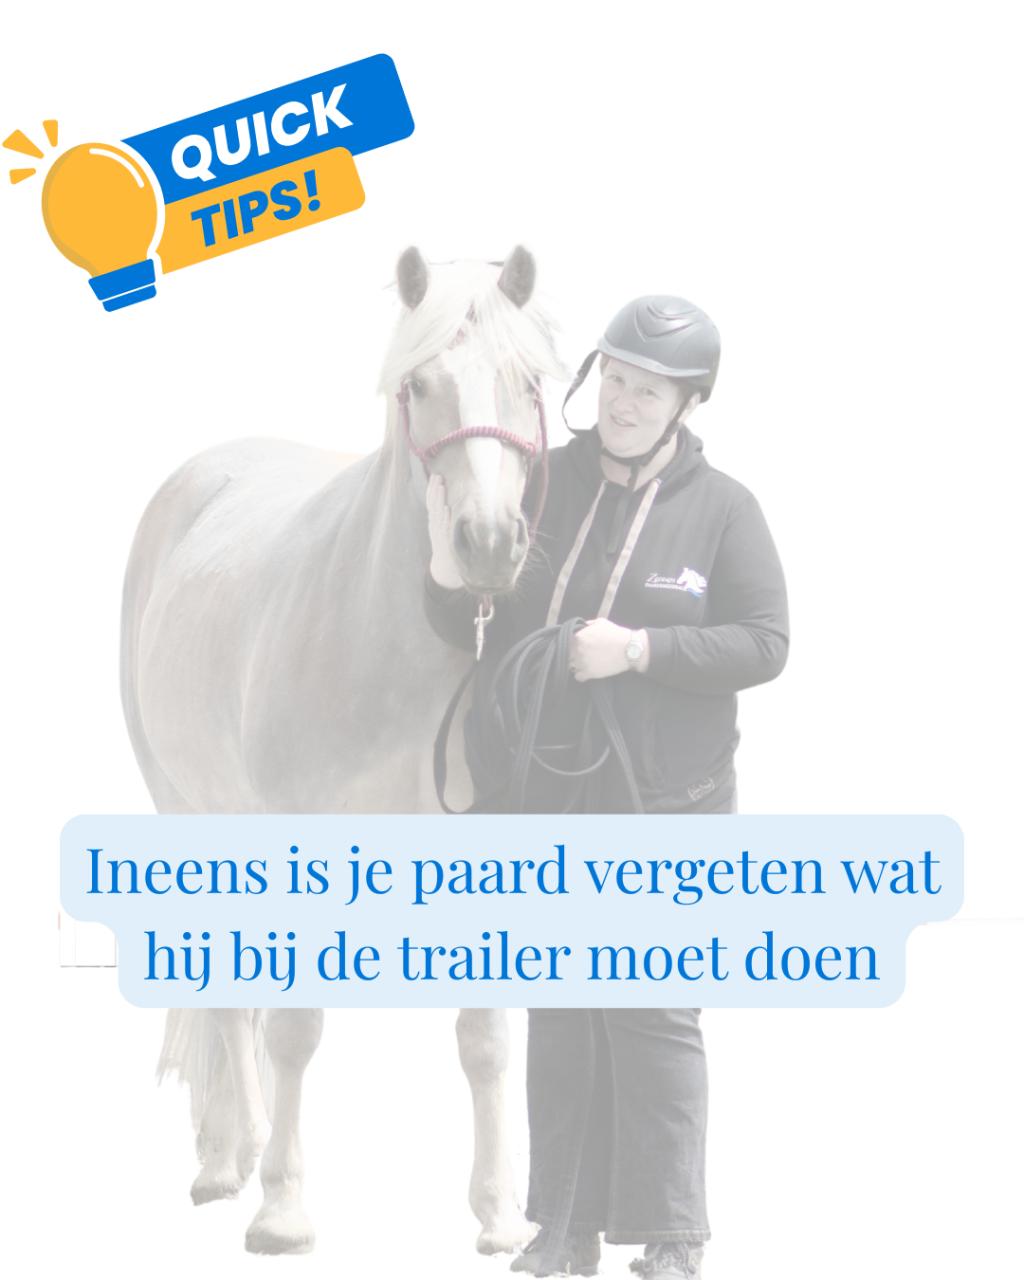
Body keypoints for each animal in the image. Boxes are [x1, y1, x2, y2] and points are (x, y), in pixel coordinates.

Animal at [119, 245, 566, 1254]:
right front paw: (283, 1211)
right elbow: (293, 1029)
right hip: (188, 818)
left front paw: (499, 1214)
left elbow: (486, 1039)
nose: (488, 544)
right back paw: (229, 1160)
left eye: (530, 384)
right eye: (417, 385)